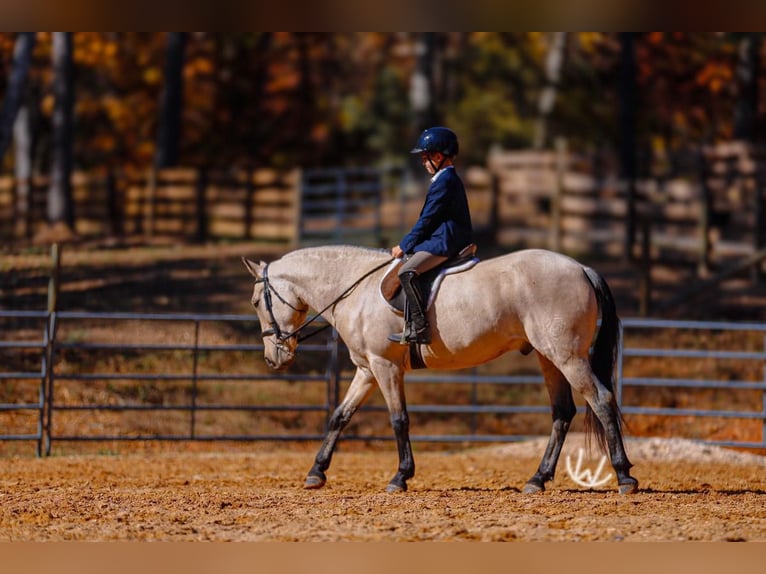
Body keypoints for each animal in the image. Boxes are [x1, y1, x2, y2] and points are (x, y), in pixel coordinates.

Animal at [242, 245, 638, 495]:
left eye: (256, 302)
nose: (274, 359)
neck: (356, 289)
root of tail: (581, 268)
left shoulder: (385, 366)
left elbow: (399, 419)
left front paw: (400, 477)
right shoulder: (367, 369)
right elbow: (340, 416)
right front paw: (316, 473)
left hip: (567, 356)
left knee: (601, 400)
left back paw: (624, 477)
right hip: (548, 357)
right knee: (562, 412)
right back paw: (537, 479)